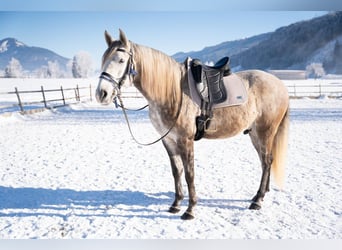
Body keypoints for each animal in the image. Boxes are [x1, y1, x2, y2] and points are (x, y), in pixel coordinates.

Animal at [95, 29, 288, 221]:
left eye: (121, 60)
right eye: (103, 60)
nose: (101, 94)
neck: (173, 91)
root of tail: (279, 84)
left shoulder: (185, 140)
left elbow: (189, 174)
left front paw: (190, 209)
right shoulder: (169, 140)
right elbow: (176, 172)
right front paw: (175, 204)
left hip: (265, 132)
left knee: (266, 161)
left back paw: (258, 200)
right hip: (255, 134)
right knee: (265, 161)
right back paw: (259, 195)